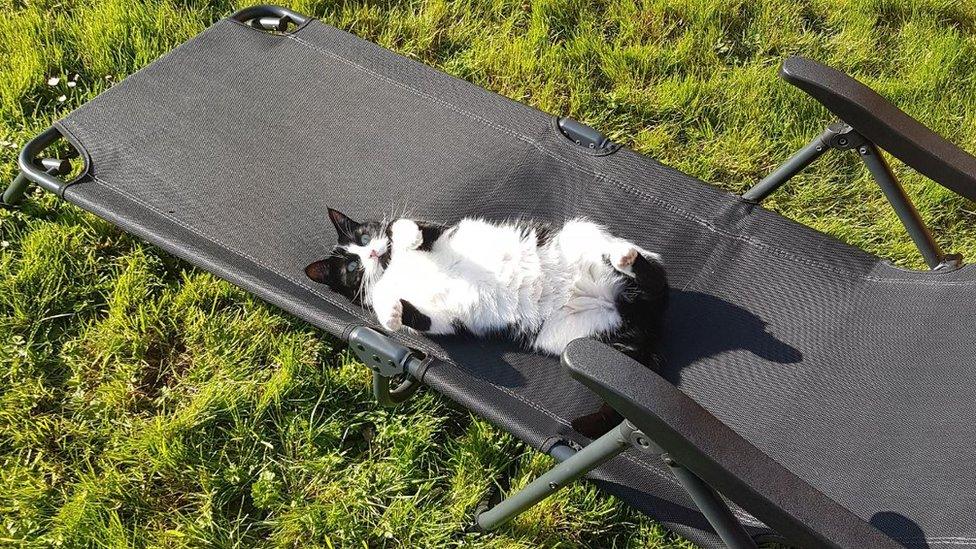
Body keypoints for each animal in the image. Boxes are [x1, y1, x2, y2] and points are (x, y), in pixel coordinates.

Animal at [306, 208, 672, 434]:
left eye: (364, 237)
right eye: (351, 267)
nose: (371, 253)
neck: (391, 269)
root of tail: (643, 319)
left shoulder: (436, 230)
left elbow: (407, 225)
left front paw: (403, 236)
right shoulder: (442, 320)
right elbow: (414, 316)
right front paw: (391, 313)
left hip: (580, 234)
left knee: (657, 277)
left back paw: (625, 256)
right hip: (571, 338)